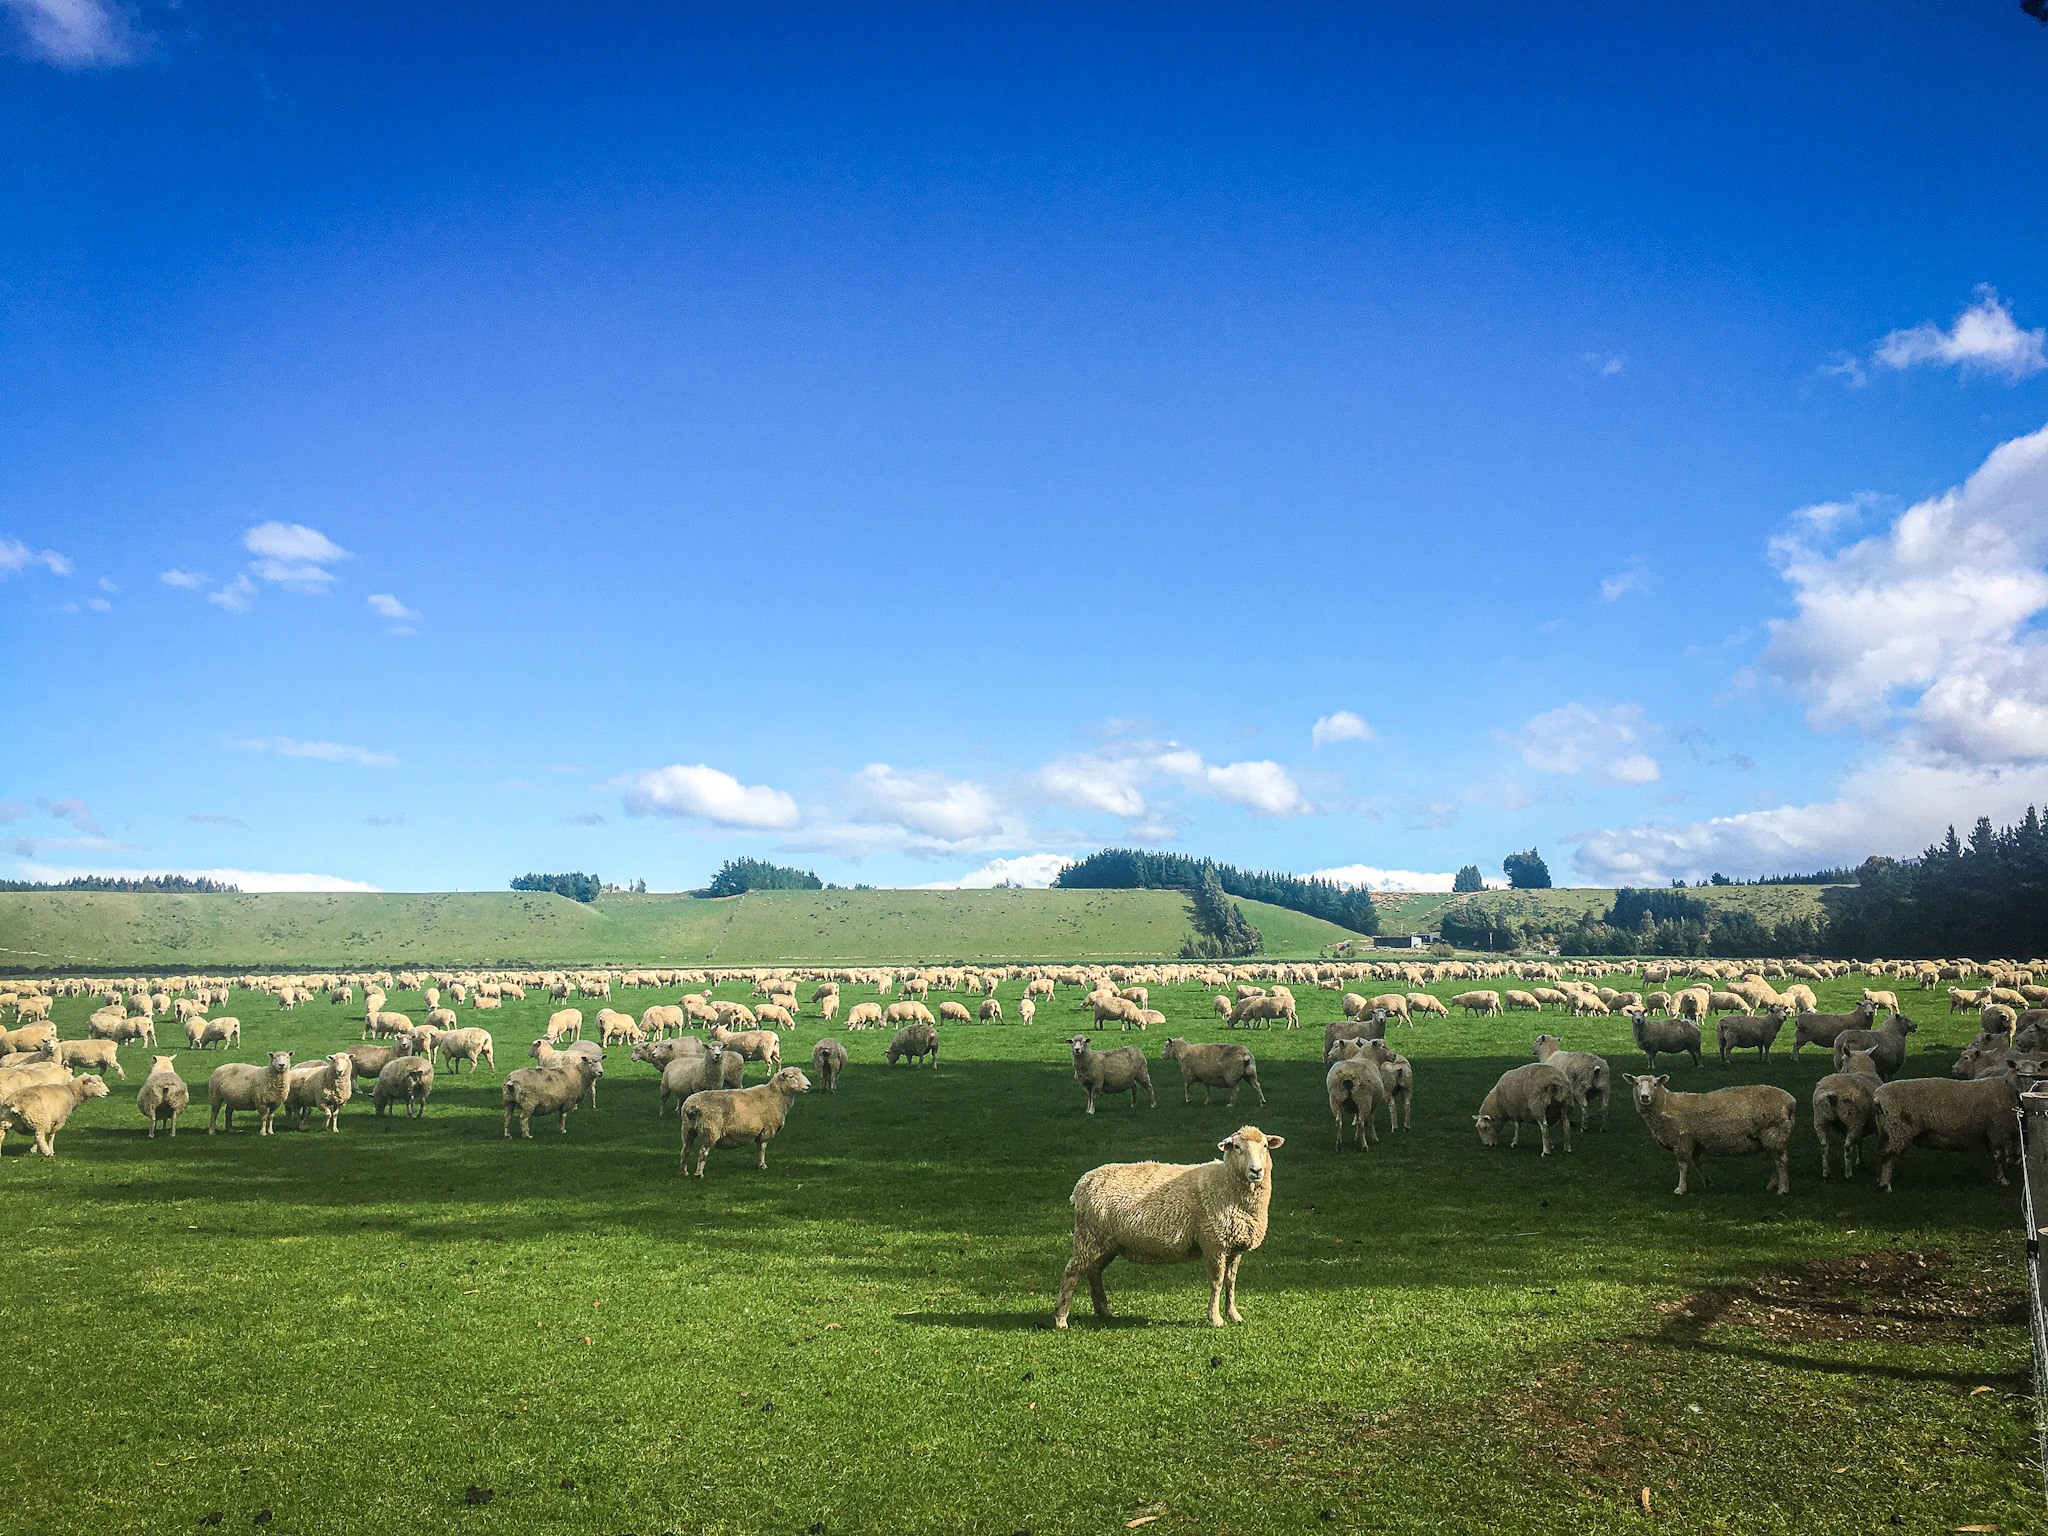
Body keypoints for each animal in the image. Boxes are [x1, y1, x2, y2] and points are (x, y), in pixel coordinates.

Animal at [1056, 1122, 1277, 1327]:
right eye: (1237, 1147)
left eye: (1265, 1146)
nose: (1256, 1171)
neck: (1224, 1183)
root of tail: (1083, 1182)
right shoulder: (1214, 1244)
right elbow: (1217, 1282)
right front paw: (1215, 1318)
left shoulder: (1234, 1246)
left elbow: (1231, 1282)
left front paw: (1234, 1315)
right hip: (1089, 1236)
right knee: (1071, 1273)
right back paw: (1061, 1319)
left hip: (1106, 1242)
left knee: (1094, 1272)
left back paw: (1103, 1310)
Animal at [1613, 1073, 1794, 1196]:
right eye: (1636, 1083)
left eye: (1656, 1084)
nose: (1645, 1097)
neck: (1667, 1105)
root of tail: (1790, 1101)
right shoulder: (1694, 1143)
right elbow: (1696, 1164)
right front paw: (1707, 1183)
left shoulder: (1682, 1140)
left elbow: (1683, 1166)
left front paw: (1680, 1188)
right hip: (1772, 1137)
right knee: (1776, 1162)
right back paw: (1772, 1185)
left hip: (1774, 1132)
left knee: (1782, 1161)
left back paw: (1783, 1189)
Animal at [1818, 1056, 1875, 1187]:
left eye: (1843, 1060)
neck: (1863, 1071)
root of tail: (1832, 1094)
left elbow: (1859, 1143)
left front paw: (1860, 1161)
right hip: (1853, 1120)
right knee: (1847, 1146)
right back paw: (1848, 1175)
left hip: (1821, 1120)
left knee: (1824, 1146)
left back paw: (1826, 1174)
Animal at [1875, 1073, 2015, 1196]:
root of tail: (1878, 1098)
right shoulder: (1997, 1129)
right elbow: (1998, 1154)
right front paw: (2002, 1180)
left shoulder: (1991, 1133)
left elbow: (1994, 1155)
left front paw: (1994, 1178)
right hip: (1898, 1129)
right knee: (1889, 1157)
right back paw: (1887, 1186)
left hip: (1886, 1131)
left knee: (1882, 1154)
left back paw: (1880, 1182)